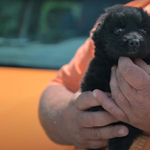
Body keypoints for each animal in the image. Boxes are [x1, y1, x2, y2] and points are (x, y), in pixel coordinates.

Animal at [81, 4, 150, 150]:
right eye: (118, 30)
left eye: (144, 30)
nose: (134, 41)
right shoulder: (94, 76)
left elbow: (127, 127)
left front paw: (118, 142)